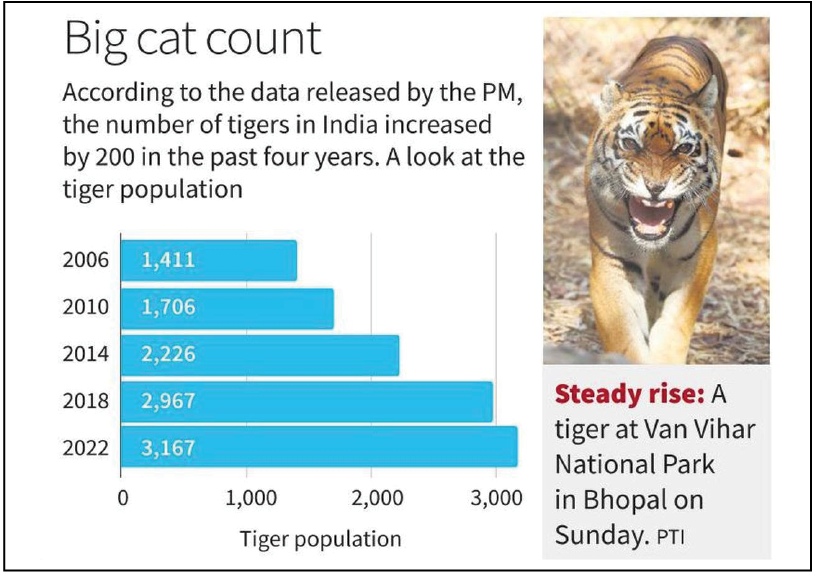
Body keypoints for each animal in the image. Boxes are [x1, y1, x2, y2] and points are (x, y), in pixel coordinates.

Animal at [585, 36, 728, 364]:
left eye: (684, 148)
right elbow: (623, 334)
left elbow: (675, 323)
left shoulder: (697, 256)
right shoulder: (613, 260)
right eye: (629, 143)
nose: (655, 188)